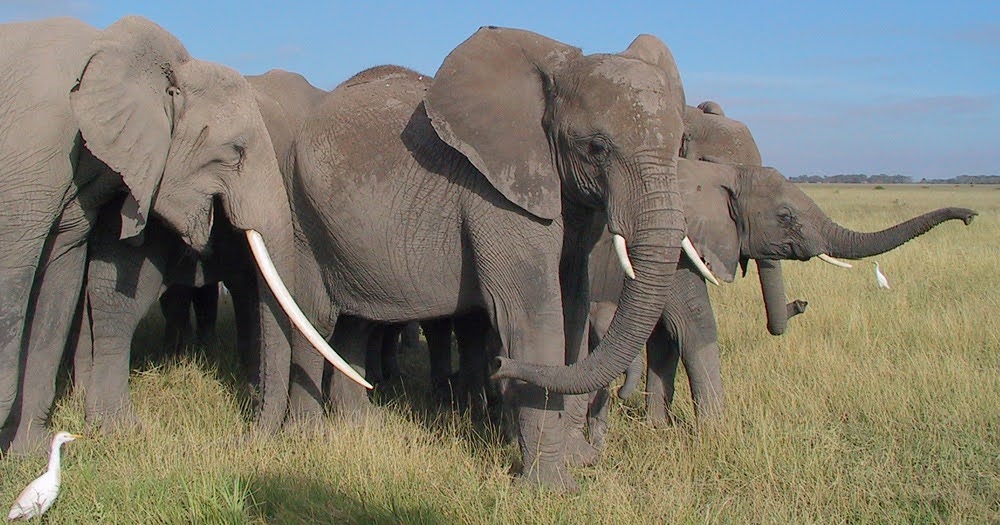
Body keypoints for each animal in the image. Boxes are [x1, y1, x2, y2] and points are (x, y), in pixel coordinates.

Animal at [286, 26, 697, 491]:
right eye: (596, 147)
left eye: (682, 144)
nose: (499, 366)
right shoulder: (496, 195)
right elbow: (533, 317)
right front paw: (552, 488)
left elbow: (572, 312)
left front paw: (578, 460)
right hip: (304, 211)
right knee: (317, 317)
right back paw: (309, 436)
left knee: (359, 321)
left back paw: (361, 425)